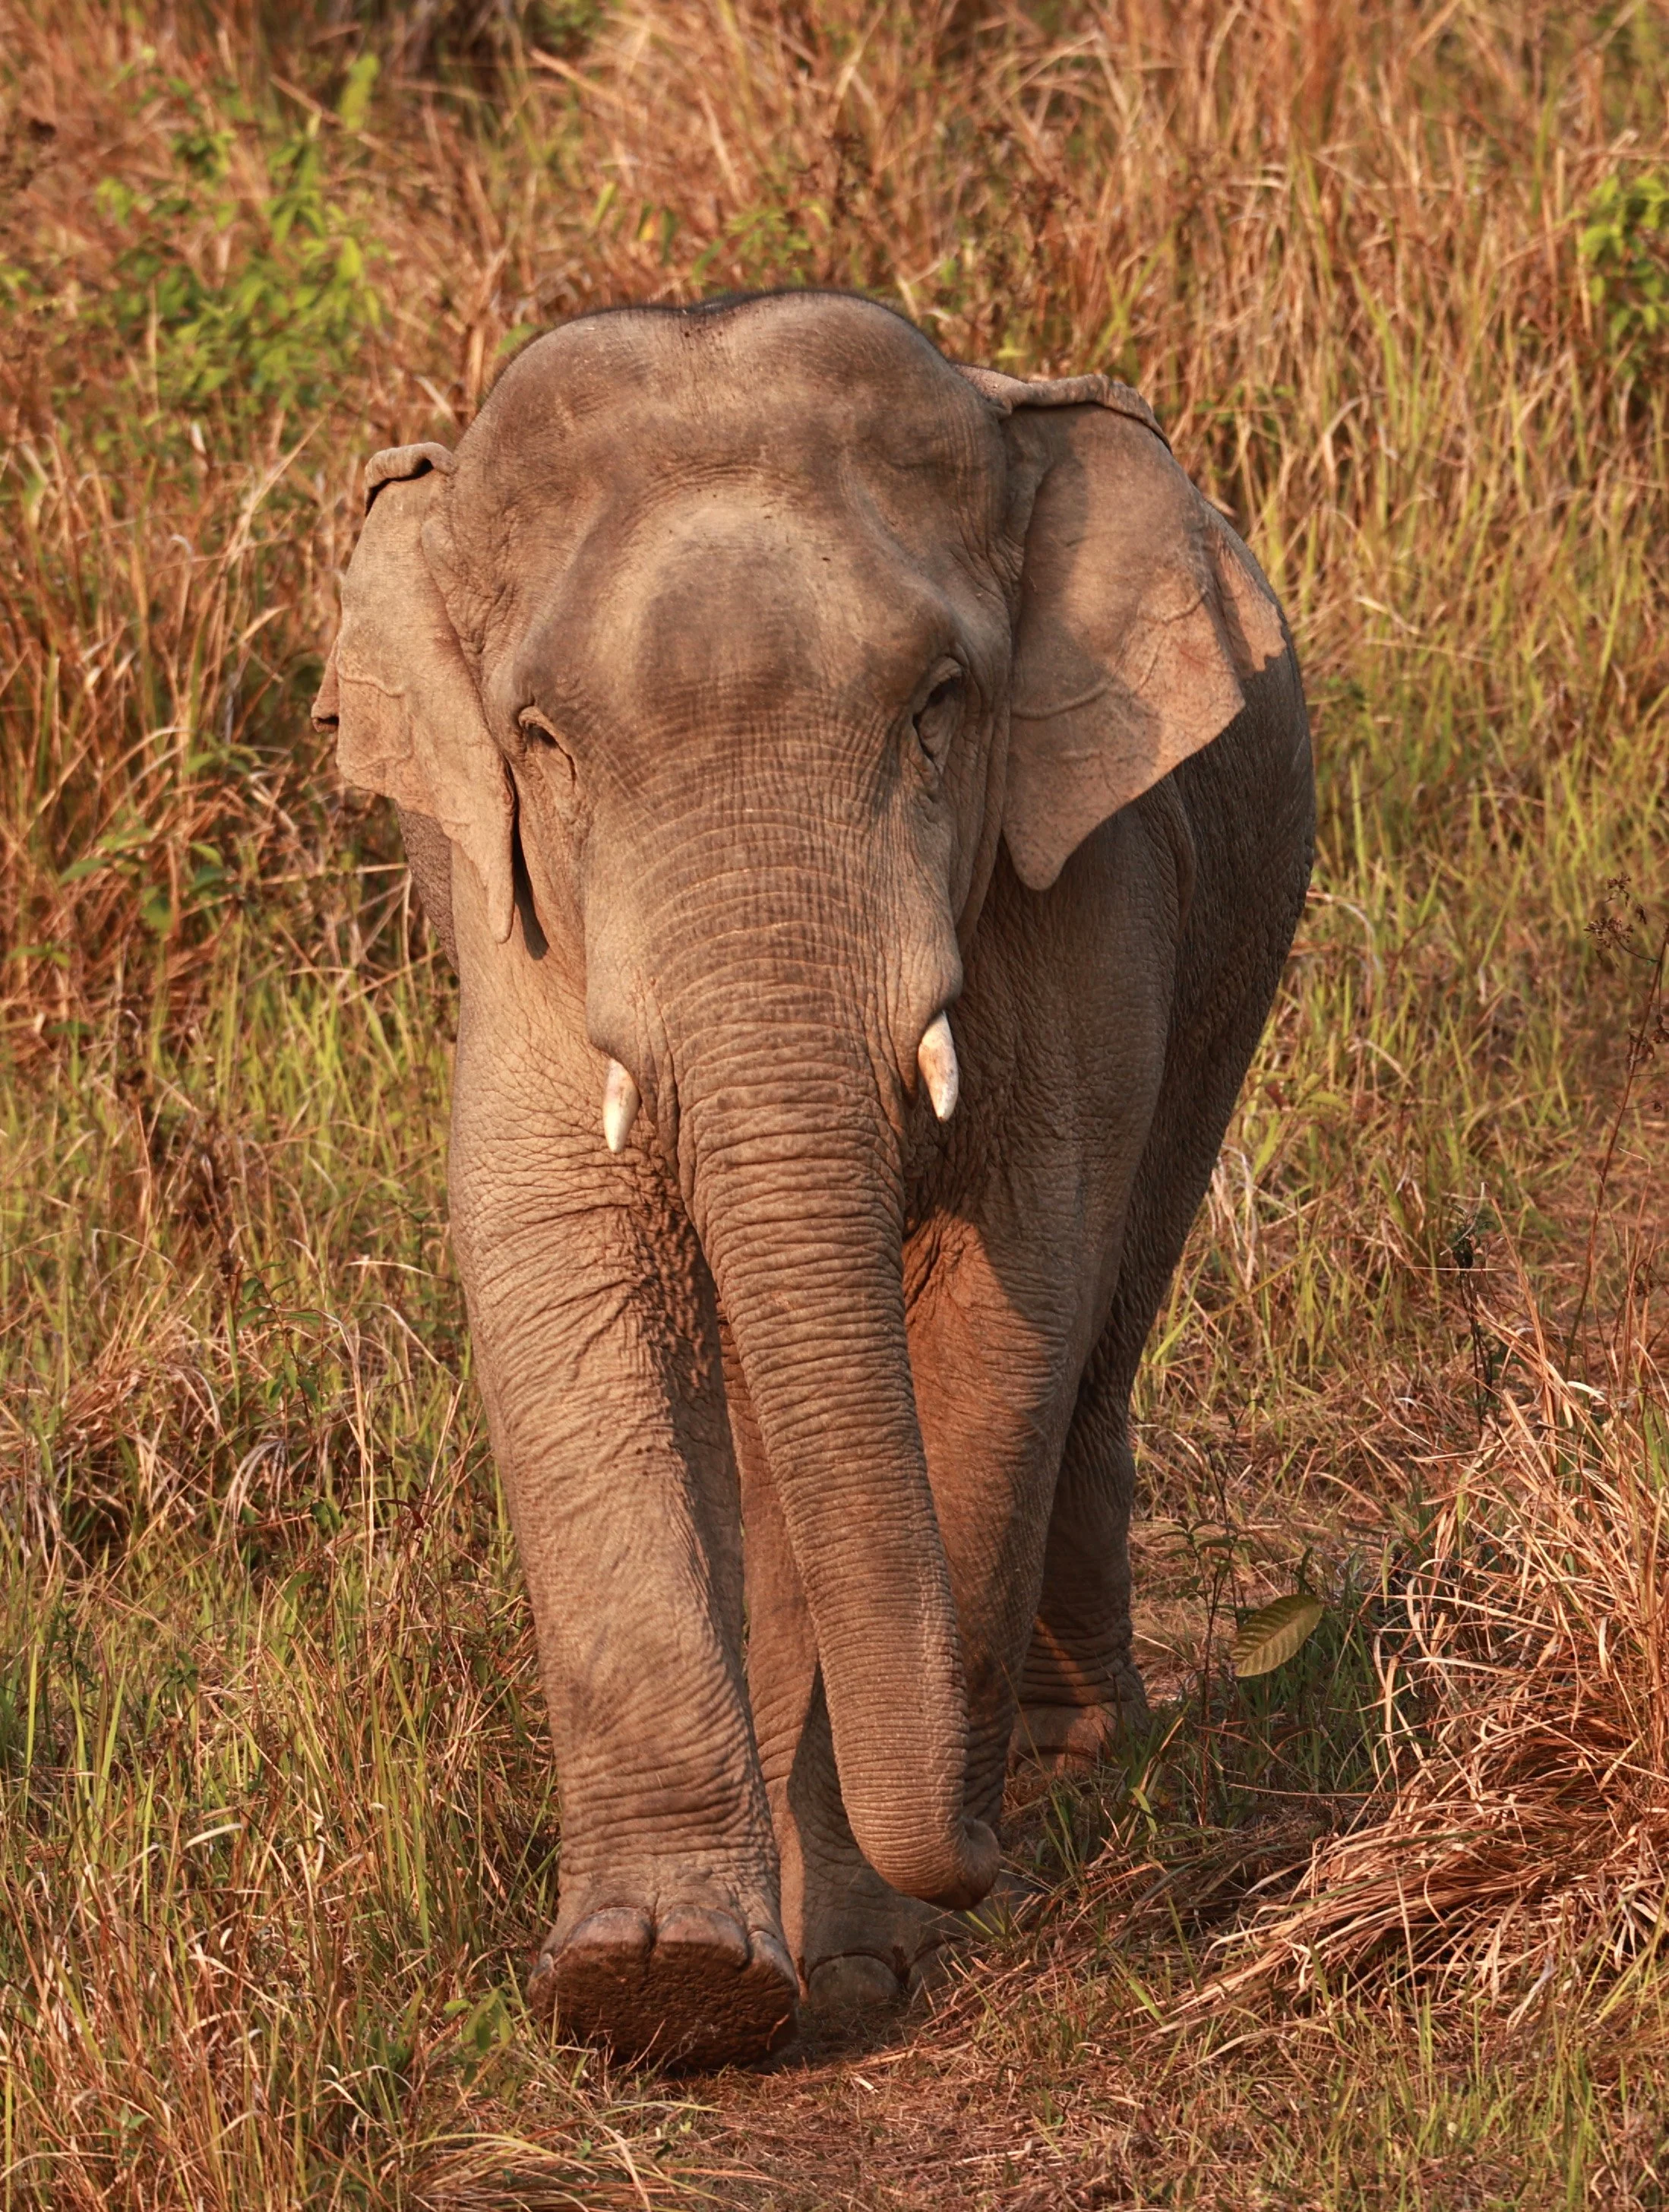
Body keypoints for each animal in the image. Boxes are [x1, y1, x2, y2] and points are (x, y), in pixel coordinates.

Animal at [311, 289, 1314, 2069]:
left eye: (939, 704)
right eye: (539, 741)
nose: (978, 1862)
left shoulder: (1080, 891)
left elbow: (999, 1309)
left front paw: (857, 1965)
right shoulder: (516, 930)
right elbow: (557, 1266)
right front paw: (658, 1987)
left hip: (1239, 950)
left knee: (1099, 1336)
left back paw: (1067, 1757)